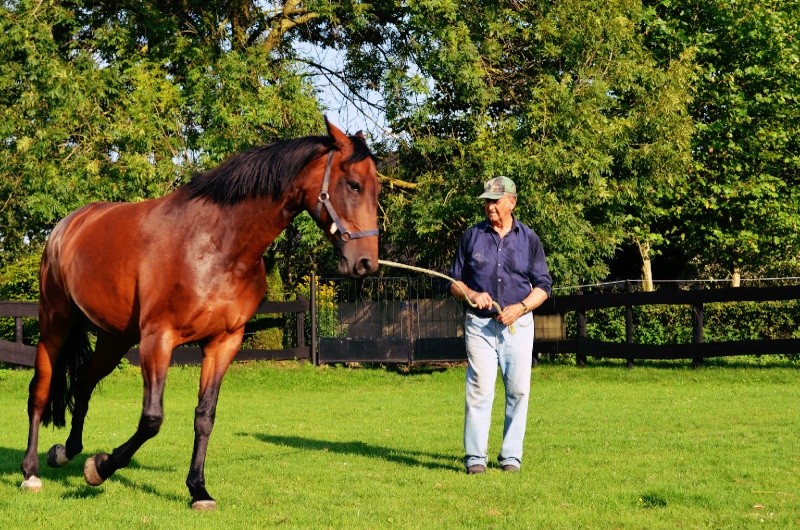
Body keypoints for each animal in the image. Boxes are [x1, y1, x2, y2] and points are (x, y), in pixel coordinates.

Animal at [18, 118, 382, 508]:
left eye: (377, 188)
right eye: (353, 184)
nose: (366, 263)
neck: (218, 245)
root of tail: (66, 226)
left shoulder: (223, 342)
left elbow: (205, 416)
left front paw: (198, 489)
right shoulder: (158, 340)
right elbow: (152, 419)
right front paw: (100, 467)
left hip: (114, 339)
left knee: (83, 383)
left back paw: (64, 452)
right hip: (55, 324)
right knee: (39, 392)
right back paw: (31, 471)